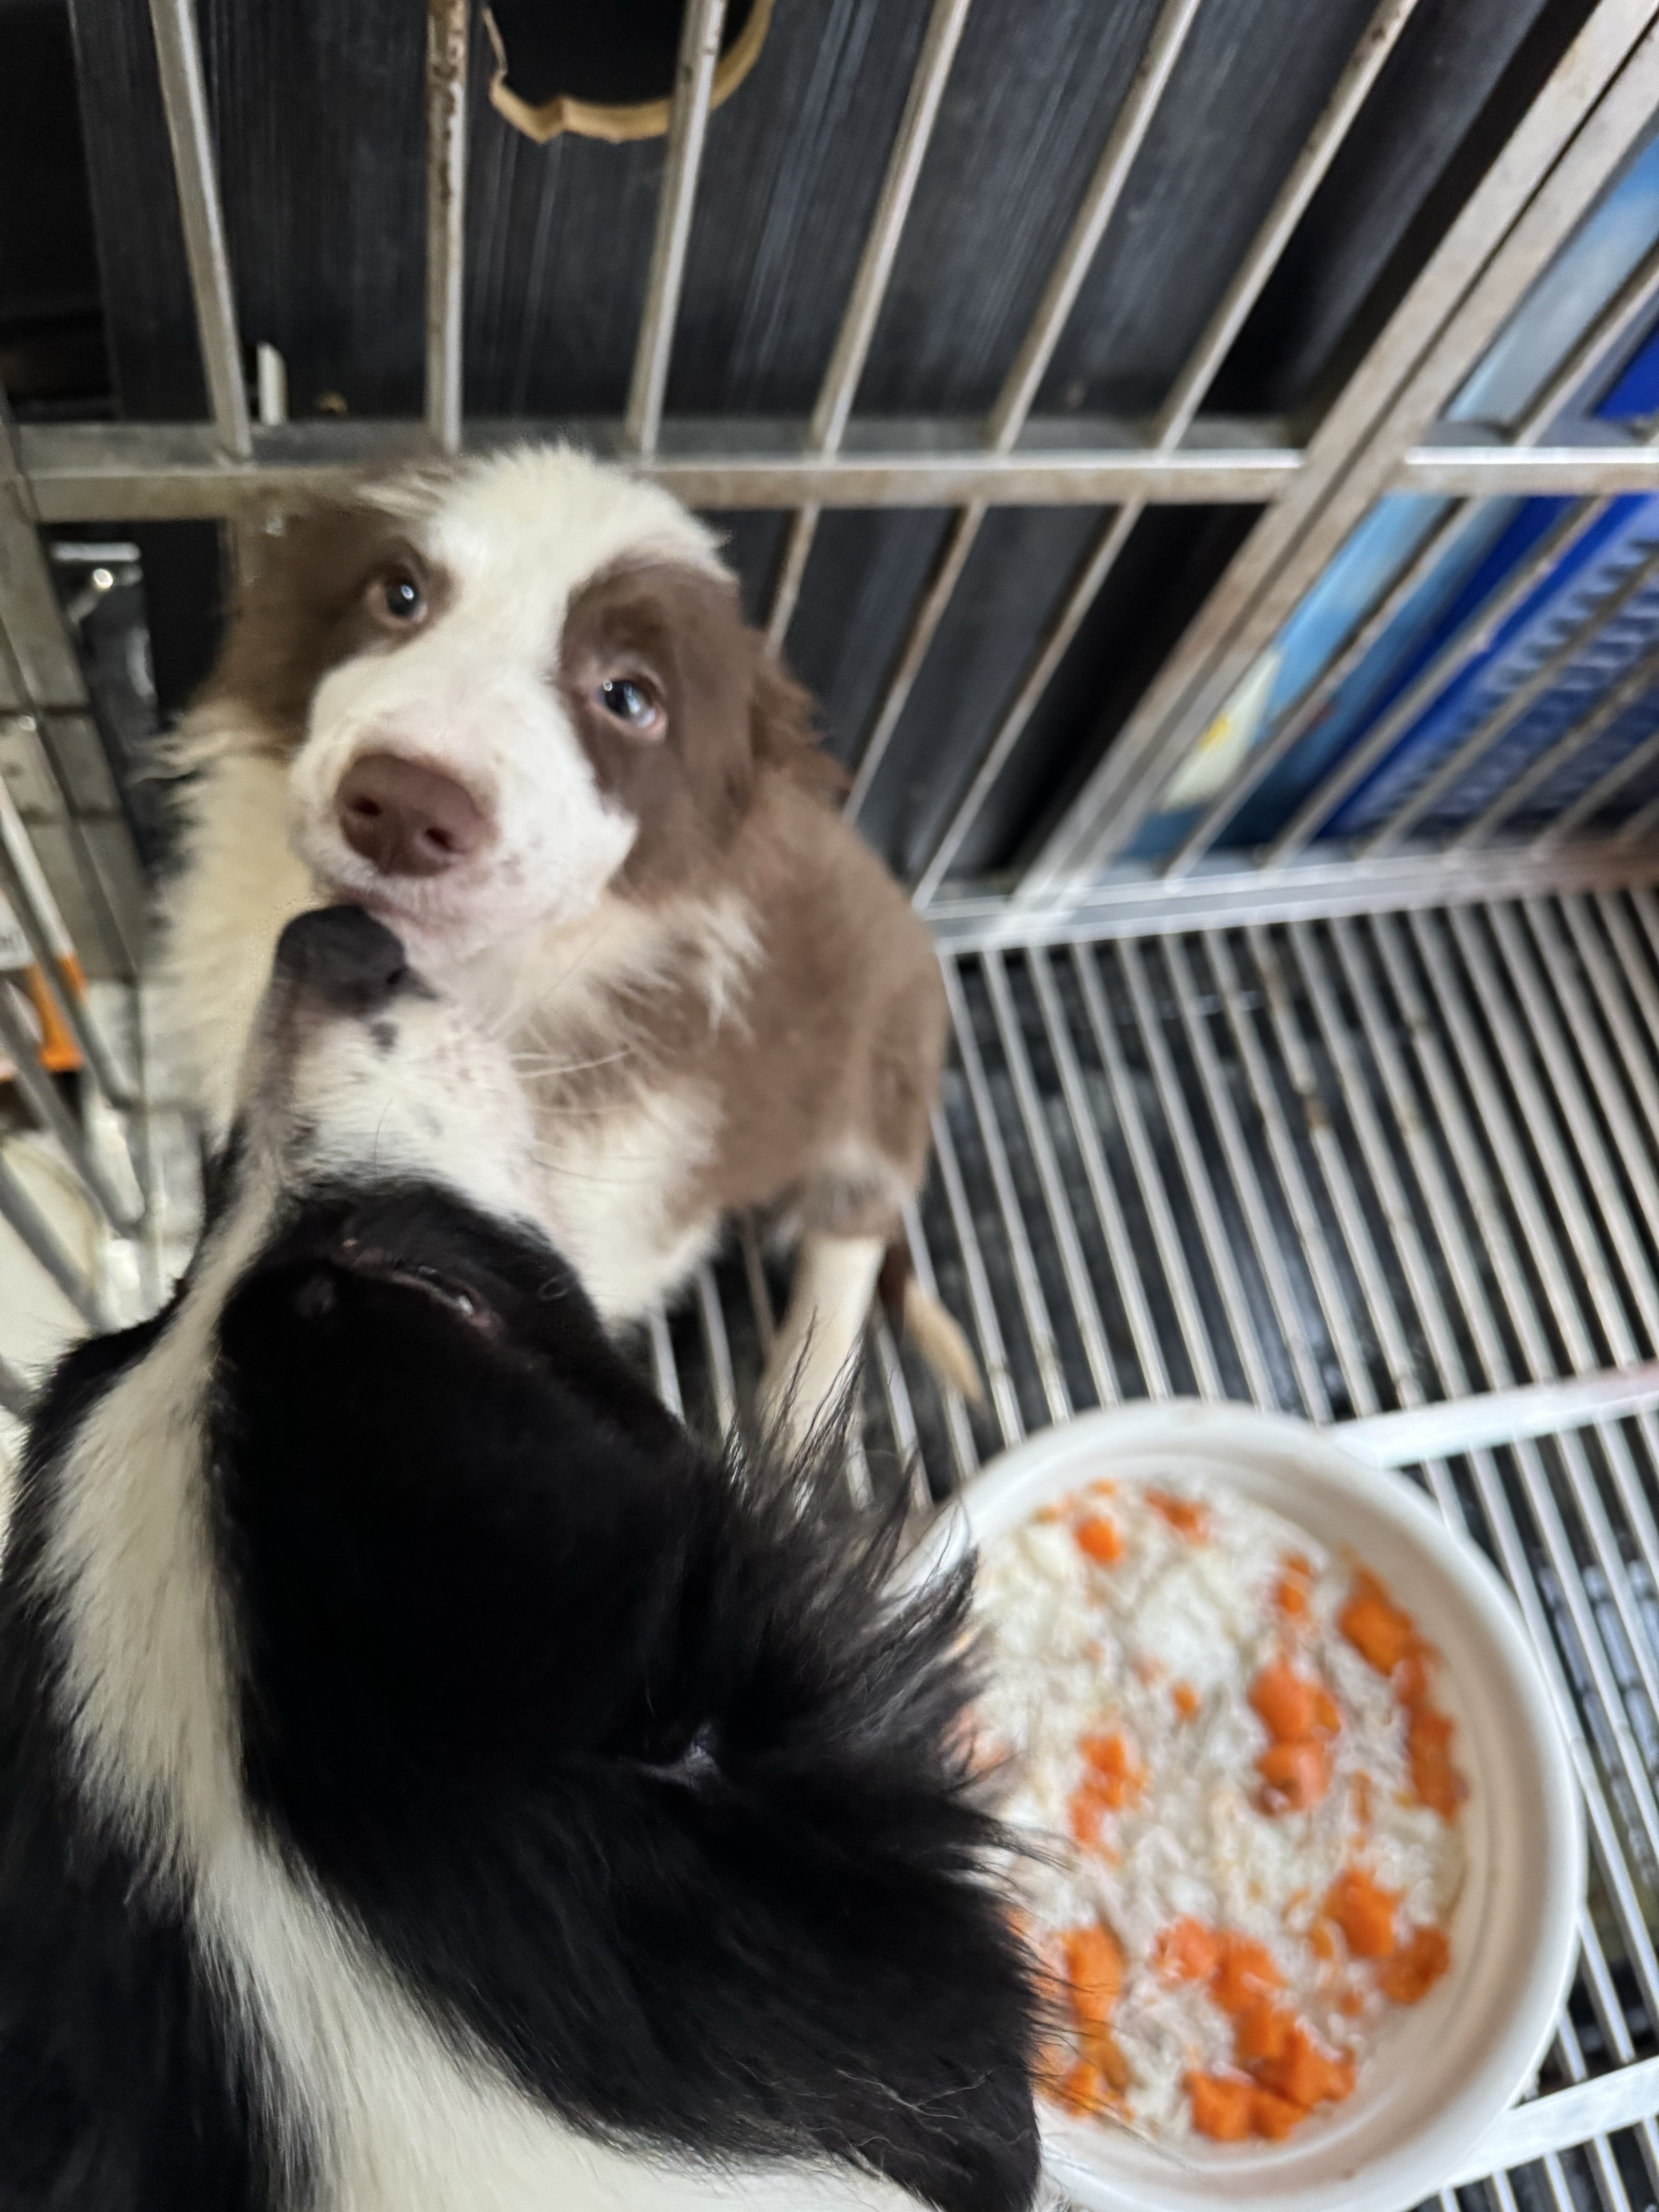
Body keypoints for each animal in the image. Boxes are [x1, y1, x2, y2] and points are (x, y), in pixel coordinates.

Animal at [161, 448, 979, 1438]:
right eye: (399, 595)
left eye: (630, 697)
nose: (404, 808)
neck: (484, 979)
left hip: (882, 1066)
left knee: (851, 1234)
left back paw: (802, 1392)